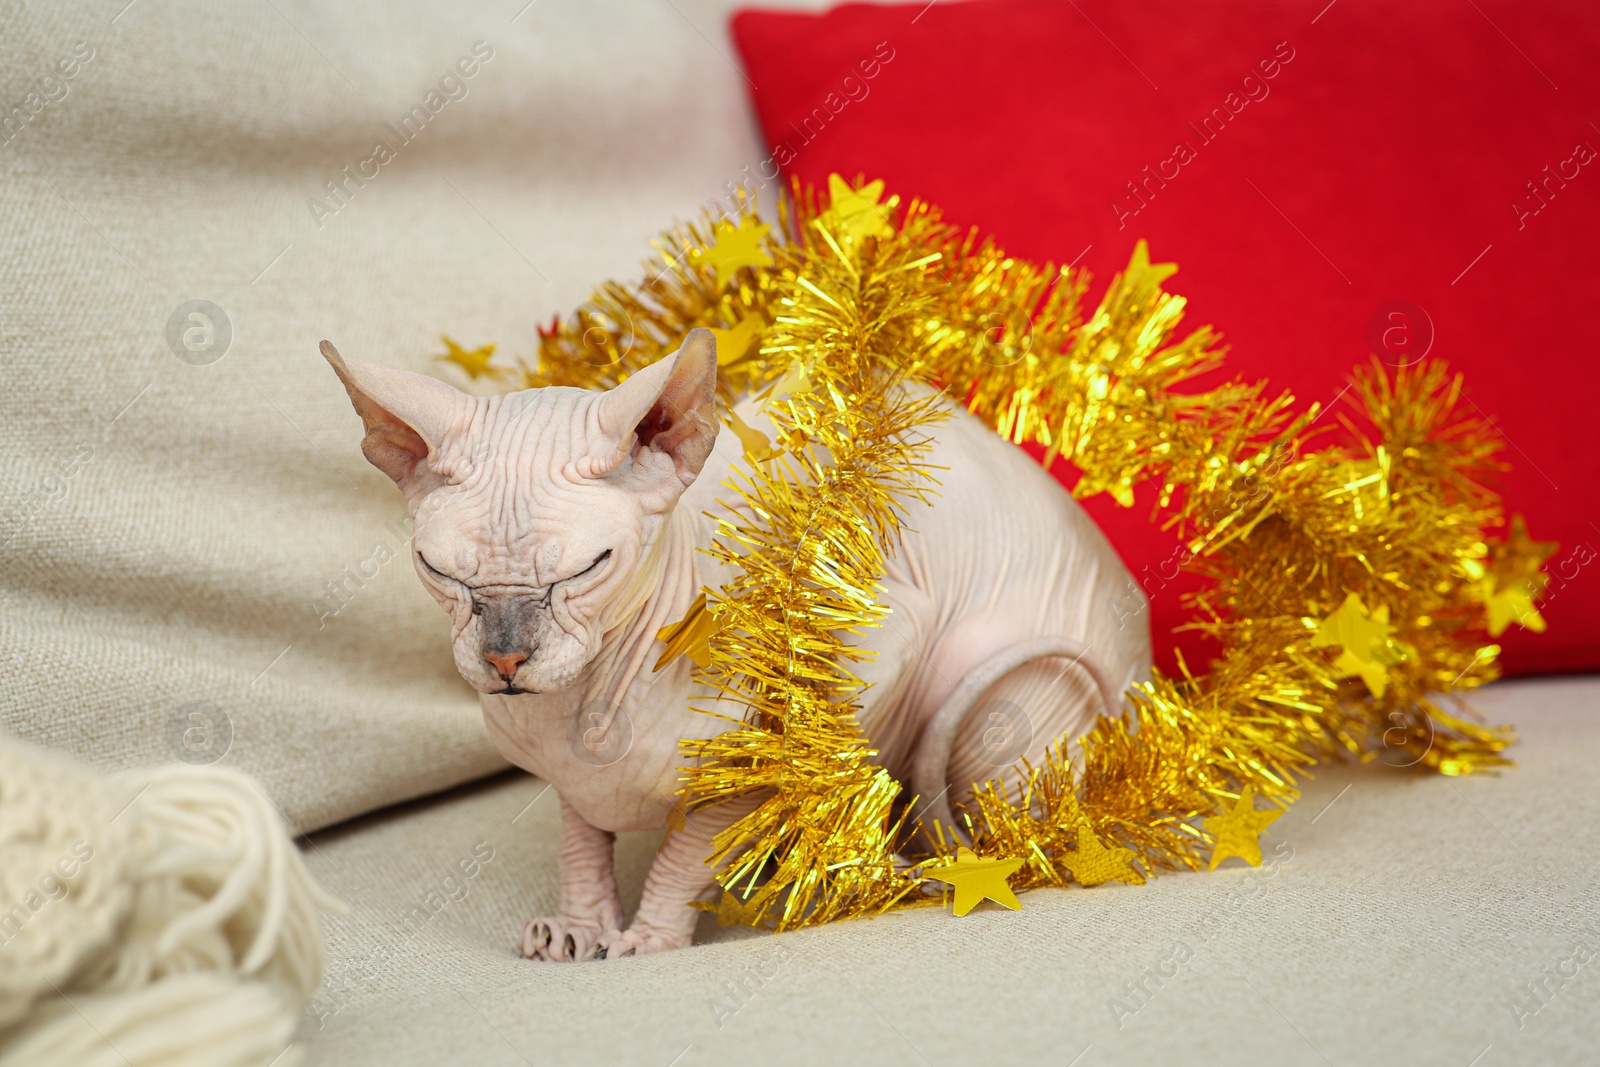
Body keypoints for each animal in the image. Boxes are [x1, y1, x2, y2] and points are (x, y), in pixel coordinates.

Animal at [321, 329, 1152, 966]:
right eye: (440, 570)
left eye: (587, 568)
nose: (504, 660)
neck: (588, 709)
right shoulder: (569, 777)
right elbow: (580, 839)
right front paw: (580, 926)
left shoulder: (870, 644)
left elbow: (698, 838)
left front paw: (651, 933)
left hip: (995, 714)